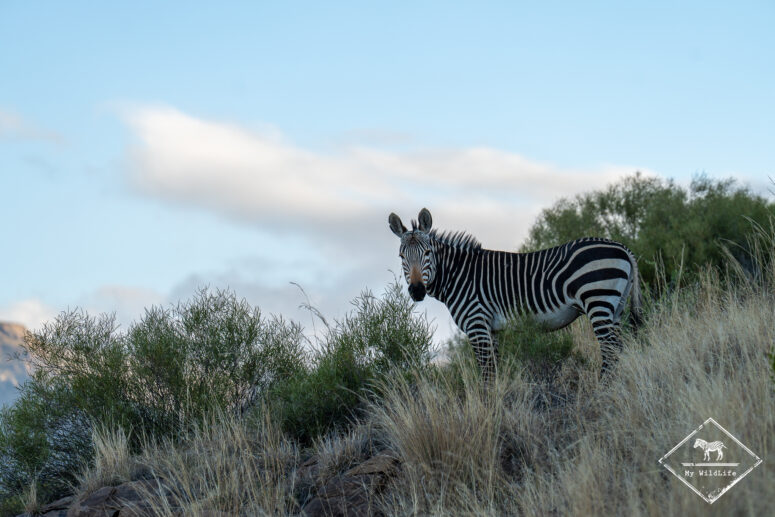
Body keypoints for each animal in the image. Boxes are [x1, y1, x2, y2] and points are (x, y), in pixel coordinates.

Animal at [388, 208, 643, 381]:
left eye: (428, 252)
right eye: (401, 256)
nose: (417, 290)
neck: (459, 275)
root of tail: (623, 247)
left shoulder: (477, 324)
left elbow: (486, 372)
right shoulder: (492, 329)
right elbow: (495, 370)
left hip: (598, 299)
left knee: (610, 350)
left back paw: (602, 391)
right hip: (615, 307)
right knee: (619, 349)